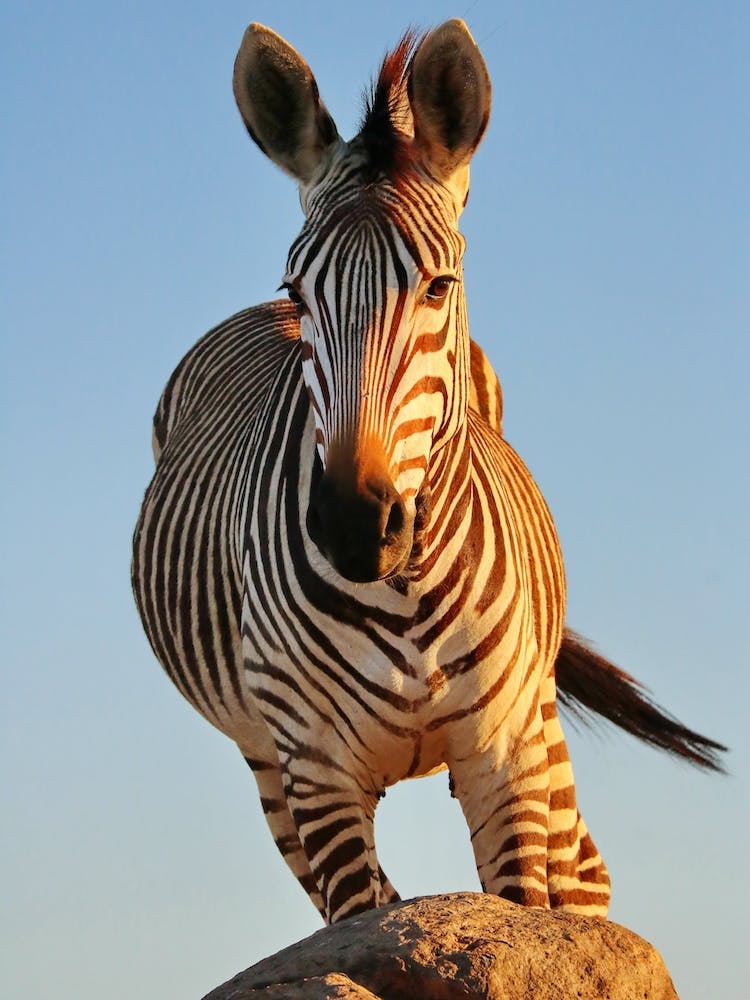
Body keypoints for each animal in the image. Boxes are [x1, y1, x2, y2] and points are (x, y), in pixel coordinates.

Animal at [132, 20, 724, 926]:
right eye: (299, 292)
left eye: (440, 286)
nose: (353, 525)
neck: (404, 592)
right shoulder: (315, 772)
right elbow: (370, 917)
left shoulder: (506, 757)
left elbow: (522, 915)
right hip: (266, 762)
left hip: (540, 723)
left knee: (583, 880)